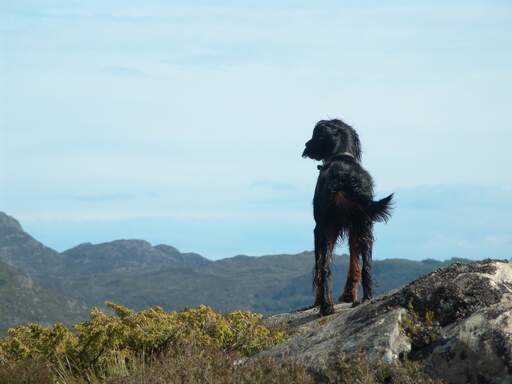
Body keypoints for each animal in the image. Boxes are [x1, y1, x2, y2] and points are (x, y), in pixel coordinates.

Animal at [302, 118, 394, 316]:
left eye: (314, 134)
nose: (306, 145)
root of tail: (344, 177)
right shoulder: (354, 228)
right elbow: (355, 263)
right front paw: (349, 296)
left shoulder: (318, 229)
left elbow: (319, 269)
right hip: (365, 225)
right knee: (367, 265)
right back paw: (367, 298)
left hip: (326, 229)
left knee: (324, 268)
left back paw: (325, 306)